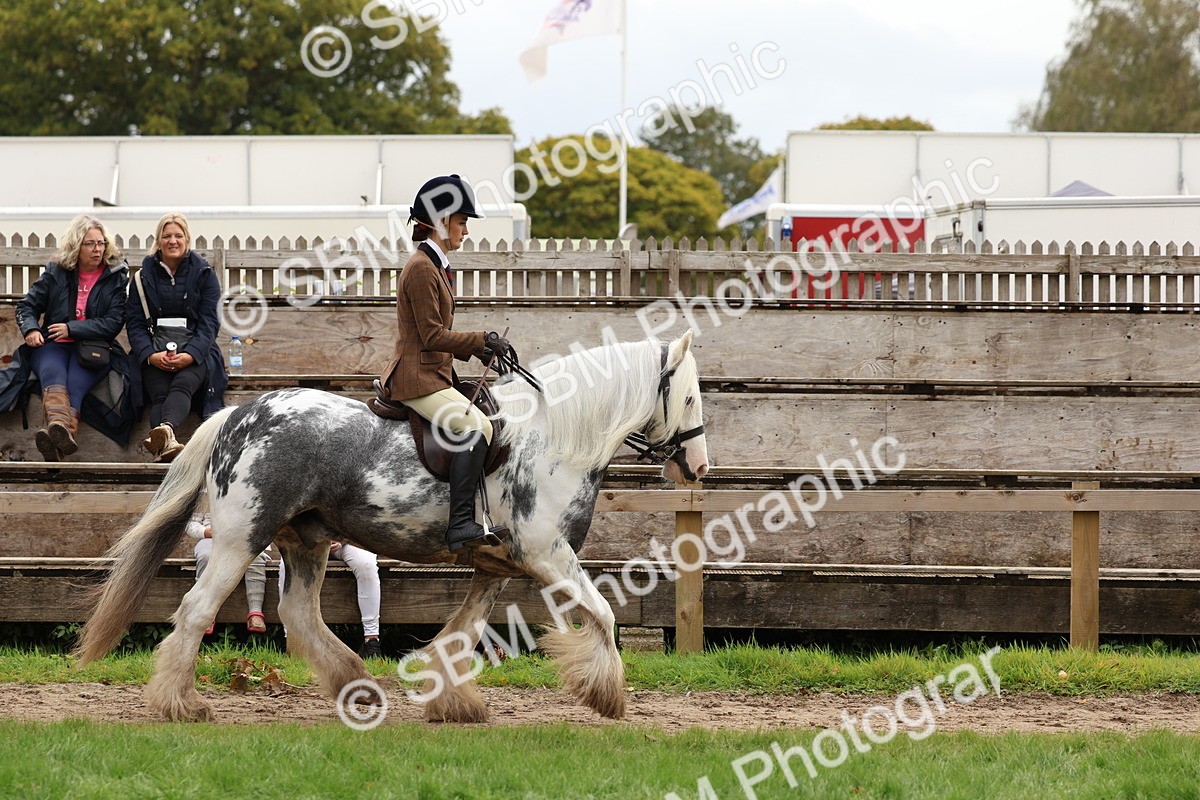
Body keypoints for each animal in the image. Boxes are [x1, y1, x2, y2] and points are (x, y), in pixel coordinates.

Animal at [74, 331, 709, 723]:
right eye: (689, 397)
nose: (699, 468)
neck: (553, 437)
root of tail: (239, 412)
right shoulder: (548, 554)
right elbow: (602, 614)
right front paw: (607, 694)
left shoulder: (498, 565)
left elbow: (463, 632)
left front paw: (454, 703)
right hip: (239, 540)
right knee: (197, 610)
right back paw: (179, 704)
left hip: (306, 541)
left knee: (297, 614)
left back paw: (355, 683)